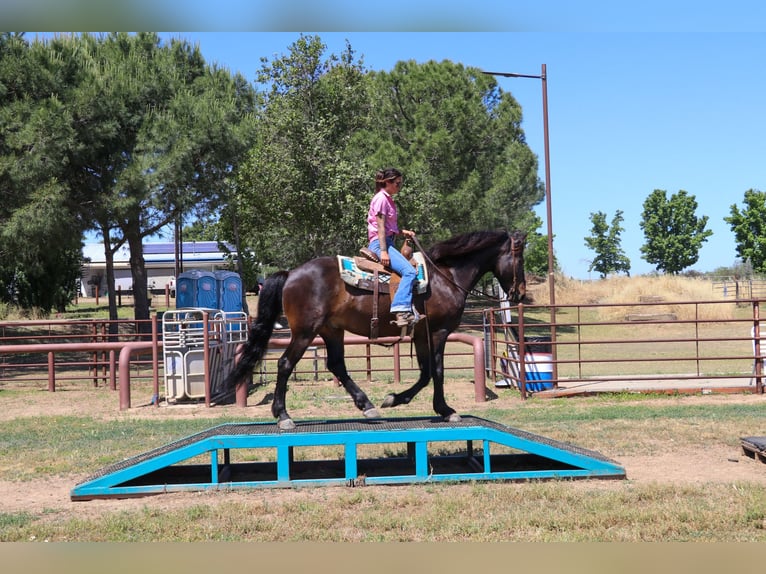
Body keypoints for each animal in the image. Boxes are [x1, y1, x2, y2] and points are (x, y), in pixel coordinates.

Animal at [222, 227, 528, 430]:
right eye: (519, 257)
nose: (521, 293)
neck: (446, 277)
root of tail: (291, 273)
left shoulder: (421, 334)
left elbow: (426, 371)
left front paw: (395, 399)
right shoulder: (438, 332)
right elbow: (436, 371)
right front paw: (444, 410)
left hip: (331, 330)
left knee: (336, 365)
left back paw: (366, 406)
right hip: (305, 332)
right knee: (285, 364)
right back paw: (283, 416)